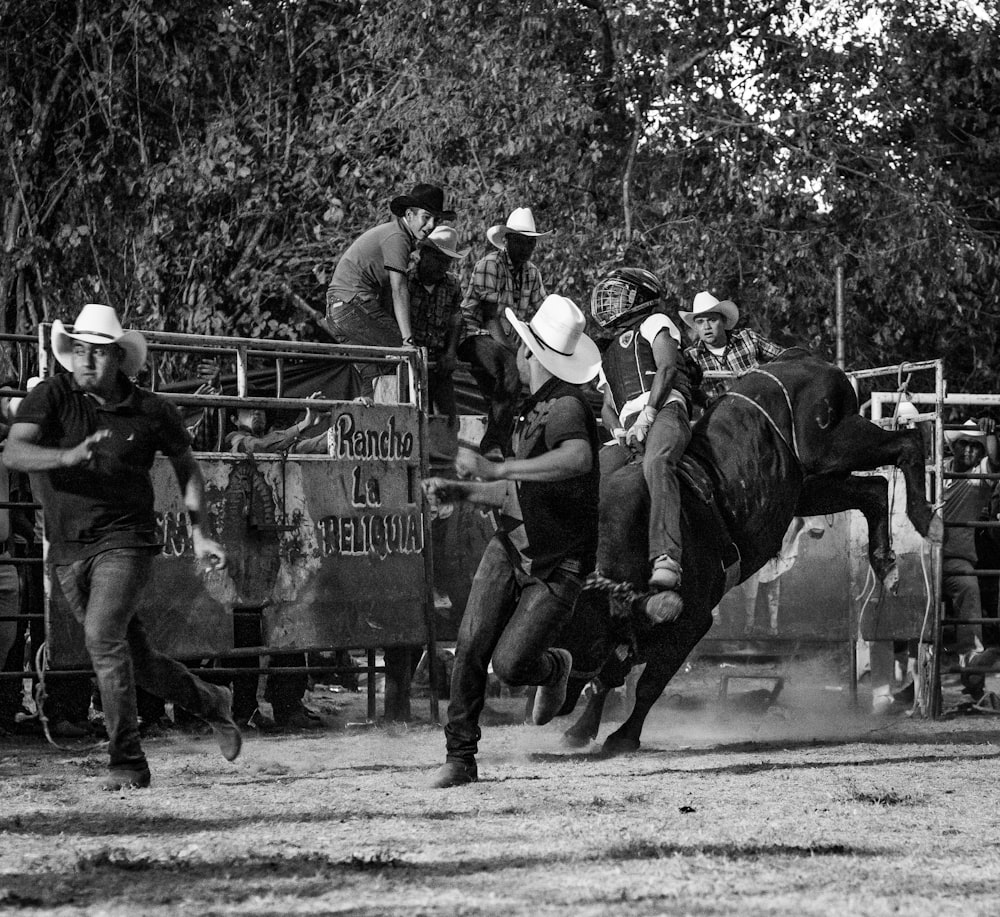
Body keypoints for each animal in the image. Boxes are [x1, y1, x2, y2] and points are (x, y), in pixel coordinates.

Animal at [556, 350, 936, 752]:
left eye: (585, 640)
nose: (557, 701)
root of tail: (805, 361)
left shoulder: (692, 622)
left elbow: (648, 684)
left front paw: (623, 737)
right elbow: (610, 675)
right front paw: (580, 729)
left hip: (832, 445)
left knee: (908, 443)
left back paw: (926, 520)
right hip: (809, 487)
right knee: (875, 489)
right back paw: (886, 565)